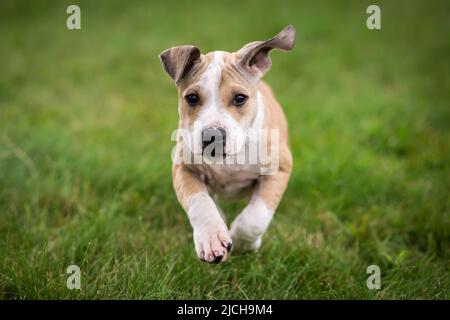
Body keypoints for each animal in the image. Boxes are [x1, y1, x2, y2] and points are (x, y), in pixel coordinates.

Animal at [159, 26, 296, 264]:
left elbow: (256, 216)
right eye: (192, 98)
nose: (212, 136)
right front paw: (212, 238)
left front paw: (243, 243)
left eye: (240, 98)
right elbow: (201, 203)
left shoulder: (279, 169)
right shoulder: (184, 169)